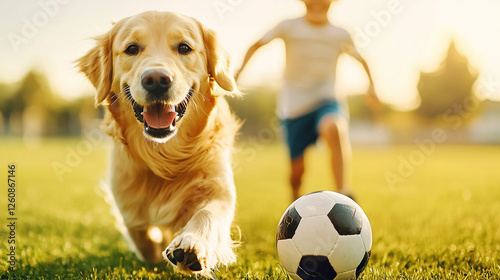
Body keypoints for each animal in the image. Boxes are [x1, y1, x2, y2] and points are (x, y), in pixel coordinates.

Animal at [77, 10, 241, 276]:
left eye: (184, 48)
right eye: (131, 49)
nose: (156, 79)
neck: (165, 153)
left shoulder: (217, 186)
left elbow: (208, 212)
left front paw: (192, 244)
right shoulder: (126, 197)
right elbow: (140, 233)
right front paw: (156, 248)